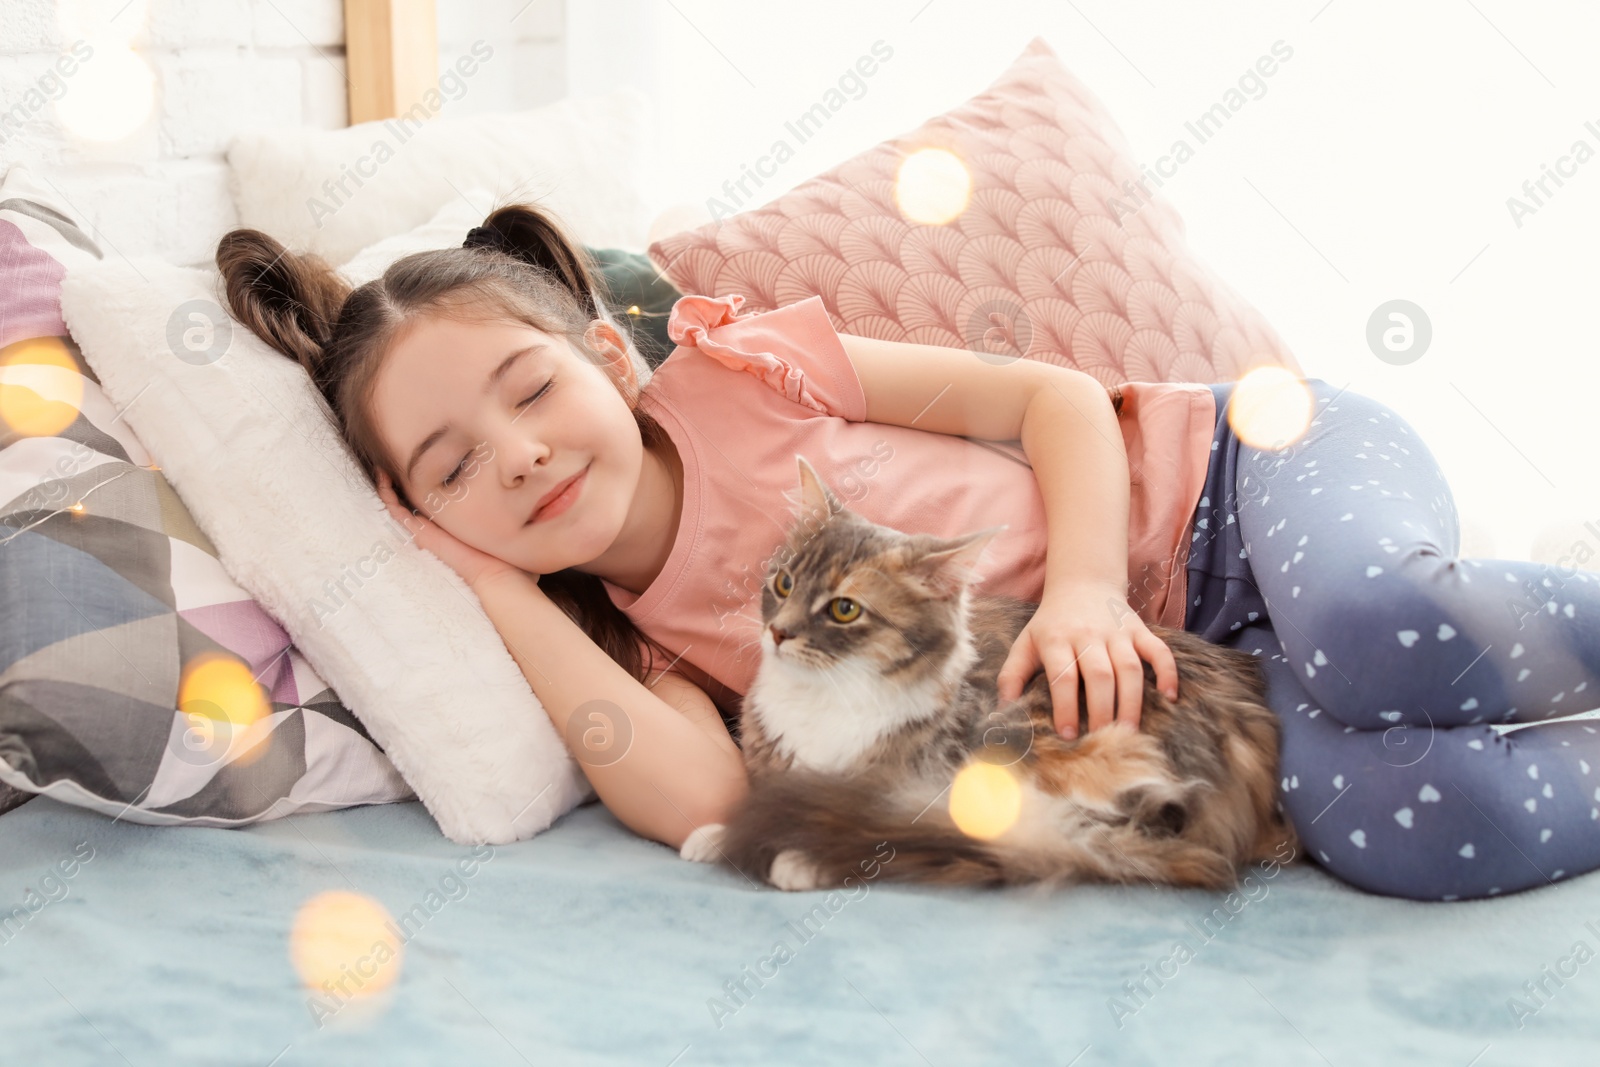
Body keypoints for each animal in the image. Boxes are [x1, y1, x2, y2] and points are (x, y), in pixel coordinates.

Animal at [678, 457, 1299, 895]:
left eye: (844, 610)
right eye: (783, 584)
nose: (778, 633)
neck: (824, 701)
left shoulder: (931, 779)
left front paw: (800, 856)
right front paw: (714, 834)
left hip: (1033, 734)